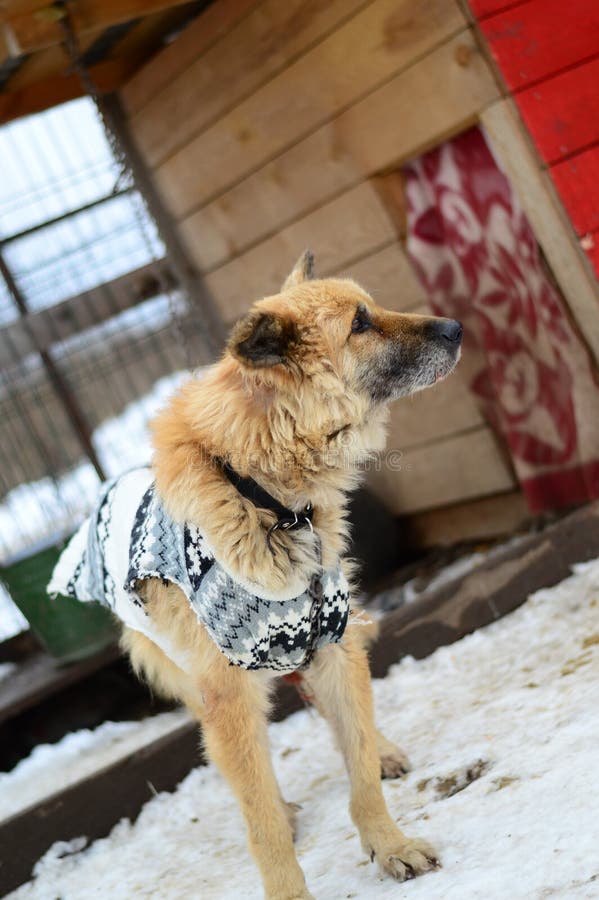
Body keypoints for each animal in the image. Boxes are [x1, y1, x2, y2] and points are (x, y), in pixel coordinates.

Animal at [51, 250, 464, 896]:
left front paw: (388, 842)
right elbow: (262, 820)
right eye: (360, 323)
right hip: (189, 678)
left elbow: (359, 768)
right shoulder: (229, 697)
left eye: (370, 308)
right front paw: (289, 884)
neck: (268, 499)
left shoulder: (331, 643)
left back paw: (382, 750)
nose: (457, 328)